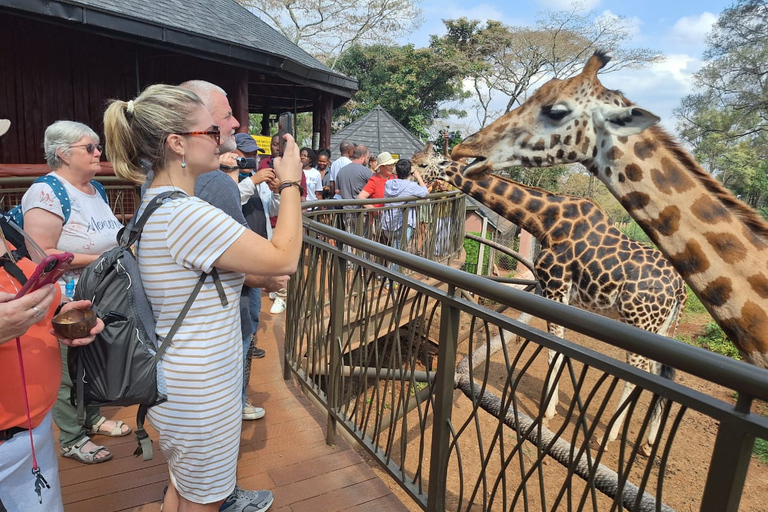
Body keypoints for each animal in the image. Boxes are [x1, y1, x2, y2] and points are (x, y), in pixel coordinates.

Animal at [414, 146, 688, 454]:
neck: (544, 220)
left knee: (638, 375)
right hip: (659, 327)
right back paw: (649, 442)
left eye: (422, 164)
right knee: (659, 374)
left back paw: (607, 438)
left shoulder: (555, 288)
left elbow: (553, 352)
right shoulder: (558, 295)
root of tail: (680, 288)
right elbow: (558, 351)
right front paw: (552, 407)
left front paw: (546, 412)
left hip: (639, 319)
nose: (410, 178)